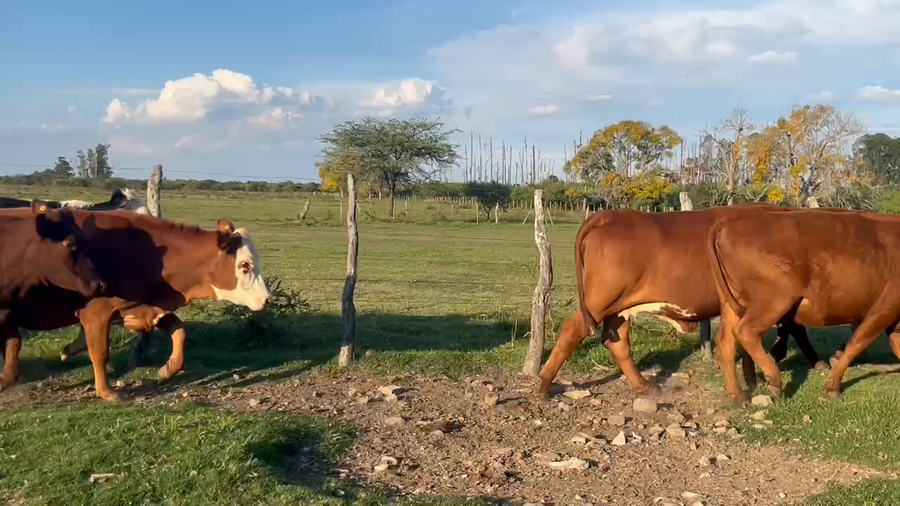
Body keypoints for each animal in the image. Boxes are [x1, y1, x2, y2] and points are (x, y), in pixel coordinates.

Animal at [534, 203, 829, 401]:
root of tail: (609, 215)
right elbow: (795, 329)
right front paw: (814, 362)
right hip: (600, 300)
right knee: (573, 330)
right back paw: (543, 384)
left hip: (619, 309)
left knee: (616, 341)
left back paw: (643, 385)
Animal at [707, 209, 900, 404]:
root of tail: (729, 223)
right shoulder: (886, 307)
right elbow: (857, 342)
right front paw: (832, 387)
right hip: (775, 302)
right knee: (745, 332)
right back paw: (774, 381)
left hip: (732, 305)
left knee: (726, 343)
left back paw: (739, 395)